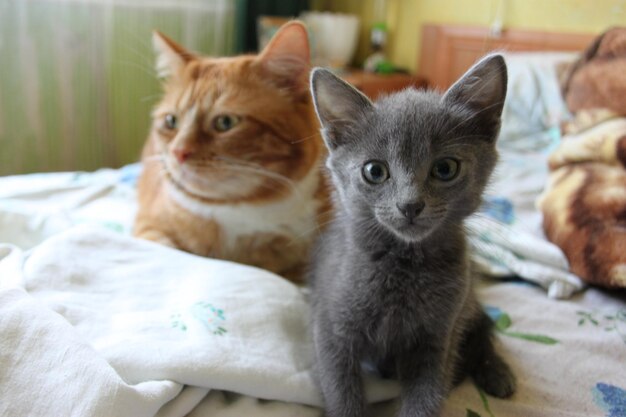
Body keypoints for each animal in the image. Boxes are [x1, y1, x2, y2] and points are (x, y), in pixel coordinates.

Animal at [306, 55, 512, 416]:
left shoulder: (439, 337)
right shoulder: (329, 327)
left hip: (468, 301)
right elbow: (341, 391)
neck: (404, 264)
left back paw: (497, 373)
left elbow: (427, 395)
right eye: (374, 171)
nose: (410, 205)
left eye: (445, 168)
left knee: (484, 328)